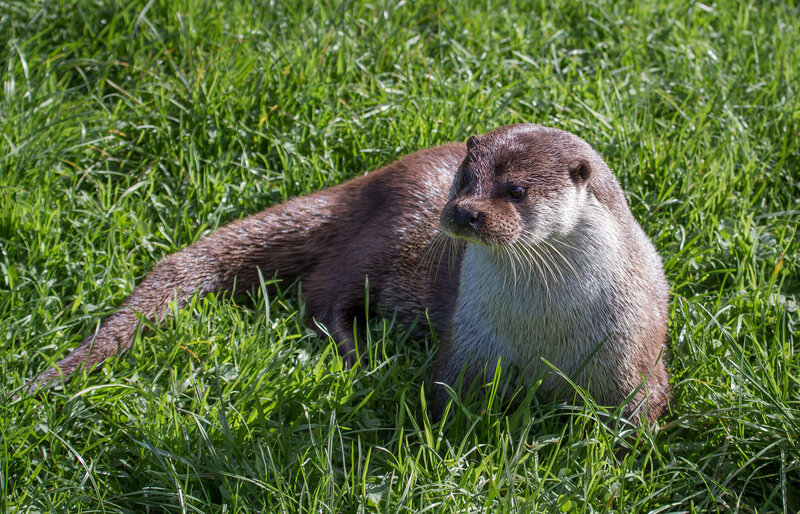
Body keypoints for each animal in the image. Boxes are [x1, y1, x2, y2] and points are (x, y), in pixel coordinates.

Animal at [28, 124, 670, 423]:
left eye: (516, 191)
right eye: (466, 179)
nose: (464, 211)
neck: (545, 335)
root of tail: (370, 182)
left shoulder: (633, 356)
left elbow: (643, 413)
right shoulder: (467, 346)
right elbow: (443, 397)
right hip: (382, 242)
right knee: (320, 296)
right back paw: (359, 354)